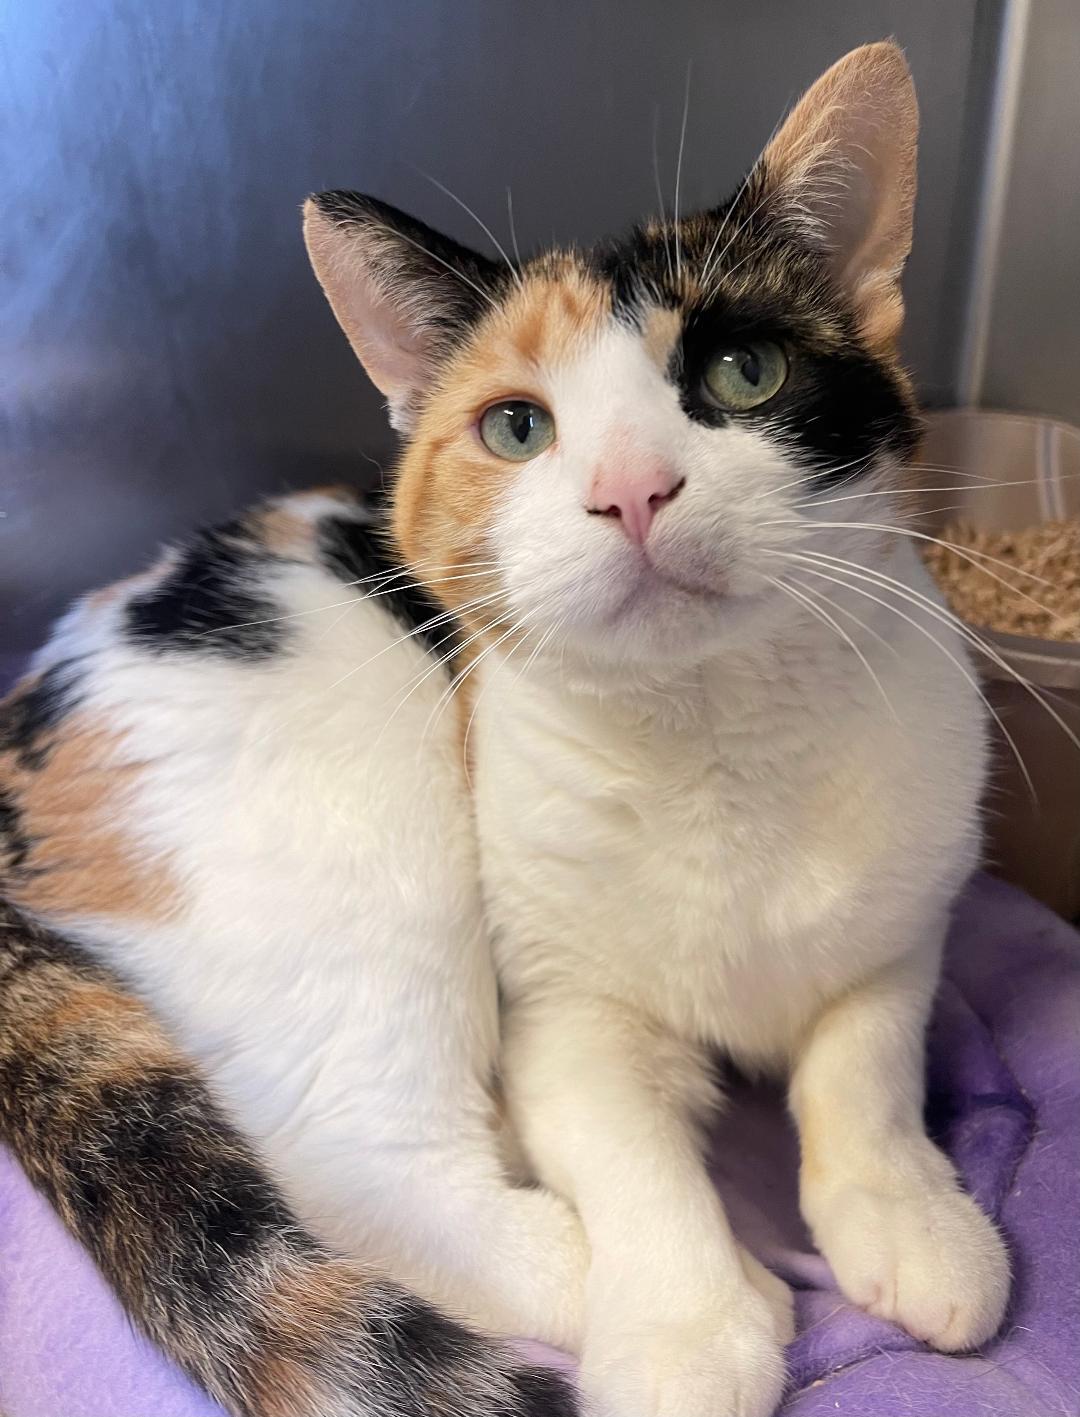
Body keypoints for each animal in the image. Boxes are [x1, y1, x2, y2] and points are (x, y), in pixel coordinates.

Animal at [4, 38, 1003, 1417]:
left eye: (743, 373)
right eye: (518, 427)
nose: (633, 488)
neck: (719, 738)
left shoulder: (905, 930)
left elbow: (868, 1061)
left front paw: (908, 1211)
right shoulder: (557, 1013)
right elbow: (632, 1149)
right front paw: (687, 1326)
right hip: (366, 831)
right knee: (357, 1166)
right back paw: (627, 1277)